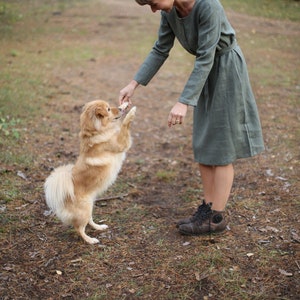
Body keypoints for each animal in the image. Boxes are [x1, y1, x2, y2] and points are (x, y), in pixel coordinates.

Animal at [44, 99, 136, 245]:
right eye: (108, 109)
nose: (121, 109)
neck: (96, 132)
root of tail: (65, 196)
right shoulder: (121, 143)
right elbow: (124, 125)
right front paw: (131, 112)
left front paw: (125, 105)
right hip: (85, 209)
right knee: (79, 228)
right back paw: (90, 240)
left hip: (90, 206)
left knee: (89, 221)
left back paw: (99, 227)